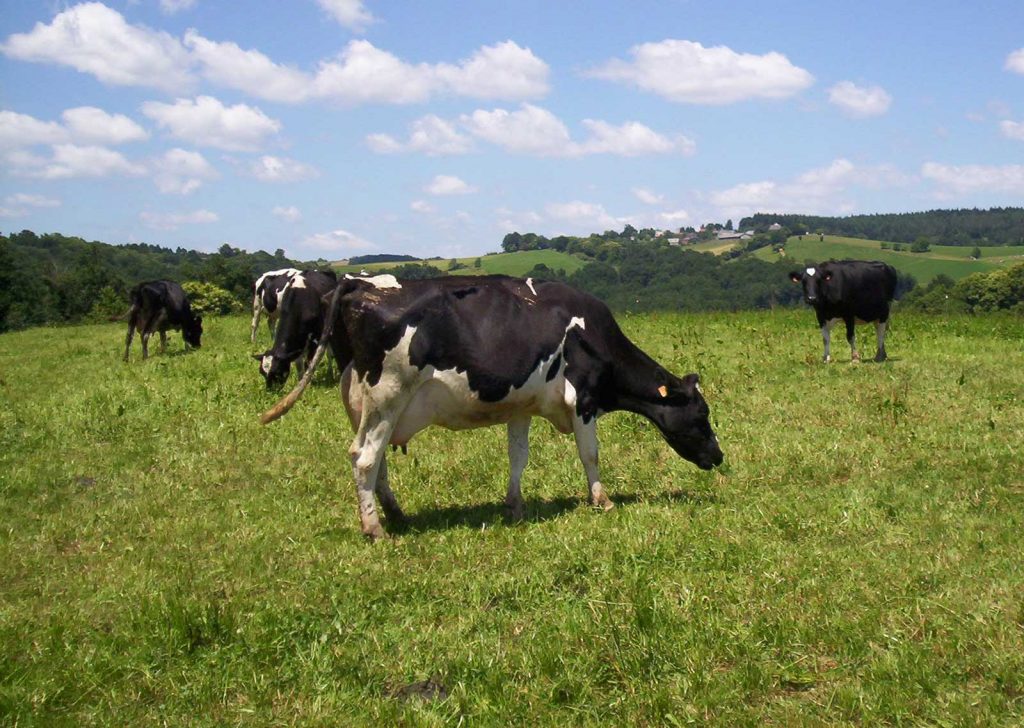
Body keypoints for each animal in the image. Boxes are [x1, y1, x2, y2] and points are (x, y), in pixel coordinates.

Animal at [261, 275, 724, 541]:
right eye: (702, 415)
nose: (719, 456)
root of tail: (360, 283)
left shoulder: (520, 404)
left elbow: (518, 456)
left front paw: (514, 506)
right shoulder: (583, 399)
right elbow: (589, 454)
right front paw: (602, 500)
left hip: (366, 403)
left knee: (376, 462)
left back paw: (395, 514)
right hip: (388, 393)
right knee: (364, 458)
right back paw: (375, 529)